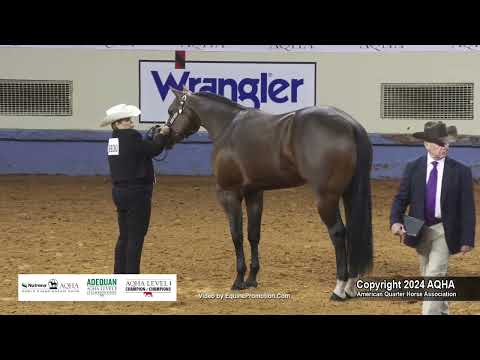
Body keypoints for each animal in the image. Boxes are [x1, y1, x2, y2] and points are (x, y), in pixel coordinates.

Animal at [156, 88, 374, 300]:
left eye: (171, 110)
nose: (164, 137)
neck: (227, 127)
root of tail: (350, 124)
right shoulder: (254, 194)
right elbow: (253, 235)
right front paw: (251, 279)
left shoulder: (229, 194)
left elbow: (236, 235)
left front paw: (238, 281)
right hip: (349, 193)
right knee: (352, 232)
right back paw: (351, 286)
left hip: (326, 198)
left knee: (338, 233)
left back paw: (339, 289)